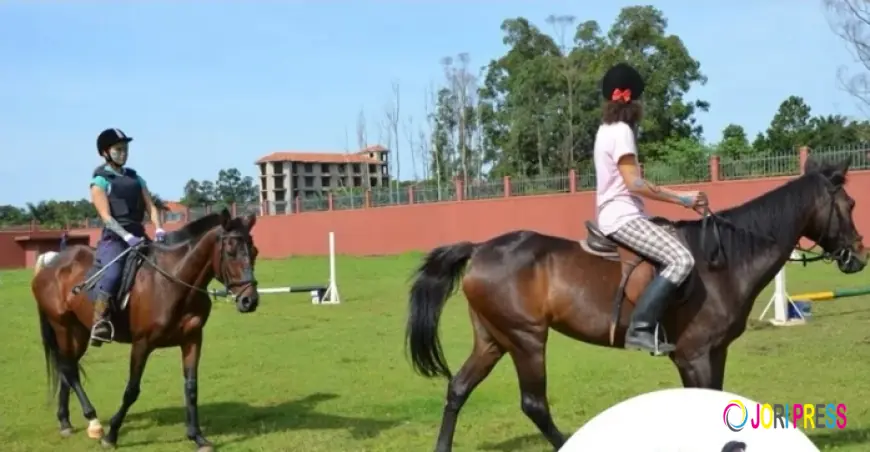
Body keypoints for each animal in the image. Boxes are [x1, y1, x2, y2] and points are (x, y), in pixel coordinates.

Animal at [31, 208, 259, 451]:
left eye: (254, 251)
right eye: (231, 251)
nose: (250, 301)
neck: (173, 281)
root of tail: (51, 264)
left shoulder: (192, 339)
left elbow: (191, 387)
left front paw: (197, 437)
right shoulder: (142, 344)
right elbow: (132, 390)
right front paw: (111, 435)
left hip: (79, 331)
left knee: (67, 368)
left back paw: (65, 421)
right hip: (63, 327)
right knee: (69, 369)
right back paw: (93, 422)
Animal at [404, 156, 867, 451]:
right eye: (849, 204)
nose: (859, 257)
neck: (725, 261)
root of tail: (480, 248)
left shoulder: (715, 352)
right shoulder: (695, 354)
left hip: (493, 338)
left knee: (458, 388)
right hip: (526, 338)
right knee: (533, 404)